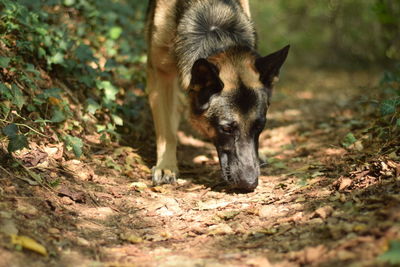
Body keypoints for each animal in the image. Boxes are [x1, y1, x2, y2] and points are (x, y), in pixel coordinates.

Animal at [145, 0, 290, 193]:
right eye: (226, 128)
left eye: (259, 126)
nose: (250, 183)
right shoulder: (160, 76)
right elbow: (166, 132)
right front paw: (166, 166)